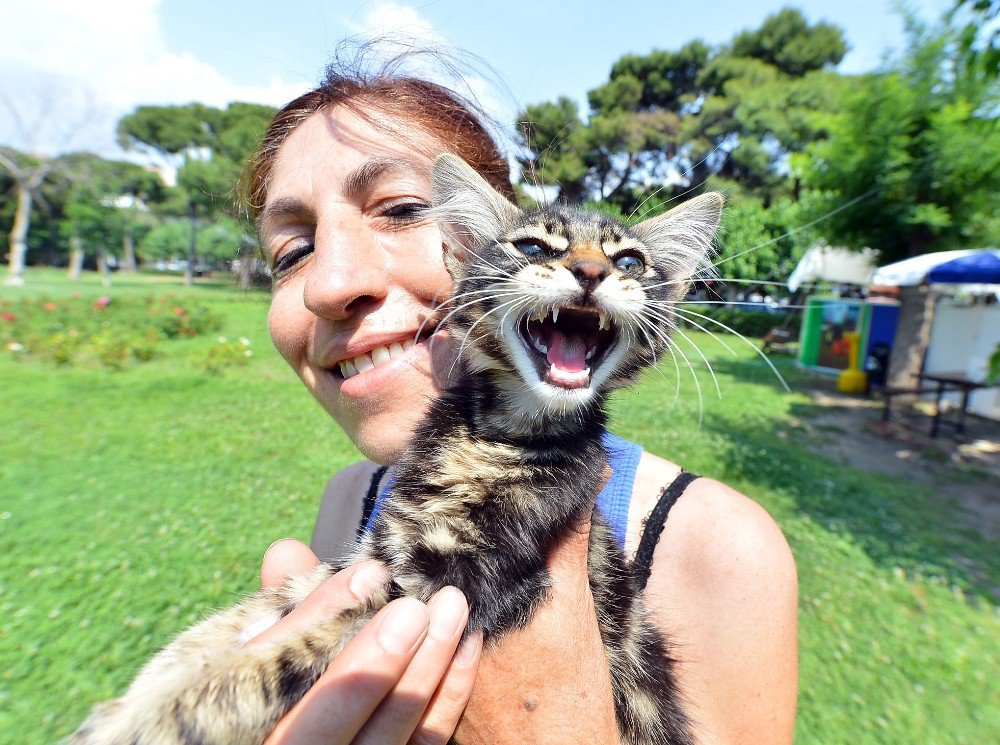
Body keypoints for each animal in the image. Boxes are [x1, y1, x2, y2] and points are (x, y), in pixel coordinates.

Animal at [72, 153, 728, 744]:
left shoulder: (450, 582)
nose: (592, 272)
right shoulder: (385, 548)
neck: (500, 432)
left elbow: (300, 649)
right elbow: (268, 603)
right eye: (535, 248)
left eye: (630, 261)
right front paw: (159, 676)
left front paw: (166, 715)